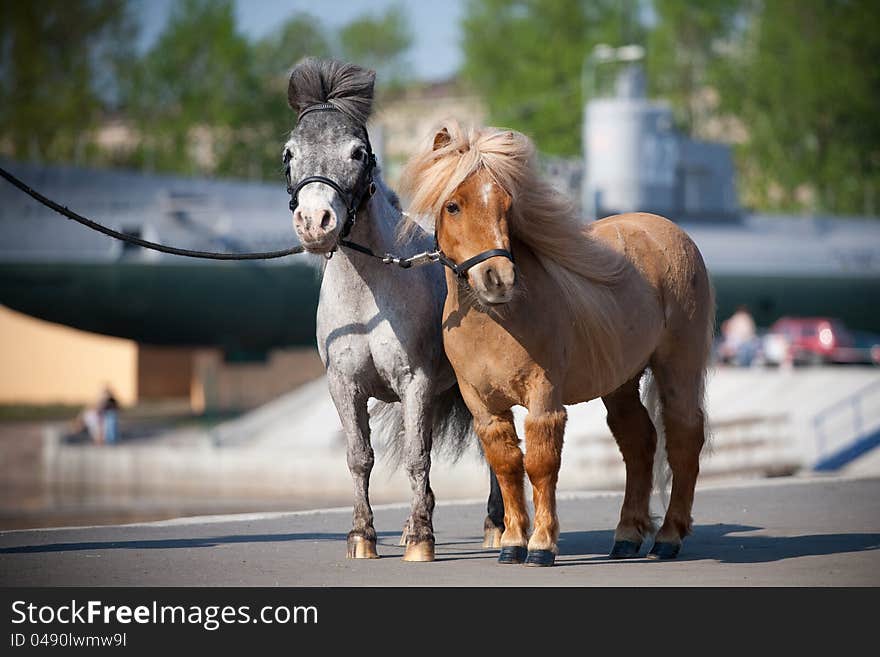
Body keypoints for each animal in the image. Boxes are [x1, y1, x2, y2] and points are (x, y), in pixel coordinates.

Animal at [282, 57, 502, 560]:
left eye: (358, 152)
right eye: (289, 154)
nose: (315, 223)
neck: (369, 299)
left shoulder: (415, 383)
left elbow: (417, 458)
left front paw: (421, 539)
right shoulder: (344, 387)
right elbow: (359, 458)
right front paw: (363, 536)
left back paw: (497, 526)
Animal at [400, 121, 716, 564]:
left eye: (506, 204)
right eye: (453, 206)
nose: (499, 279)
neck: (499, 322)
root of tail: (671, 231)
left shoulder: (544, 397)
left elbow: (540, 465)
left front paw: (541, 545)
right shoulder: (484, 407)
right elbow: (507, 466)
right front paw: (513, 542)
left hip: (678, 369)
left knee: (684, 438)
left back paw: (669, 536)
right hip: (620, 382)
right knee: (638, 442)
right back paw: (626, 536)